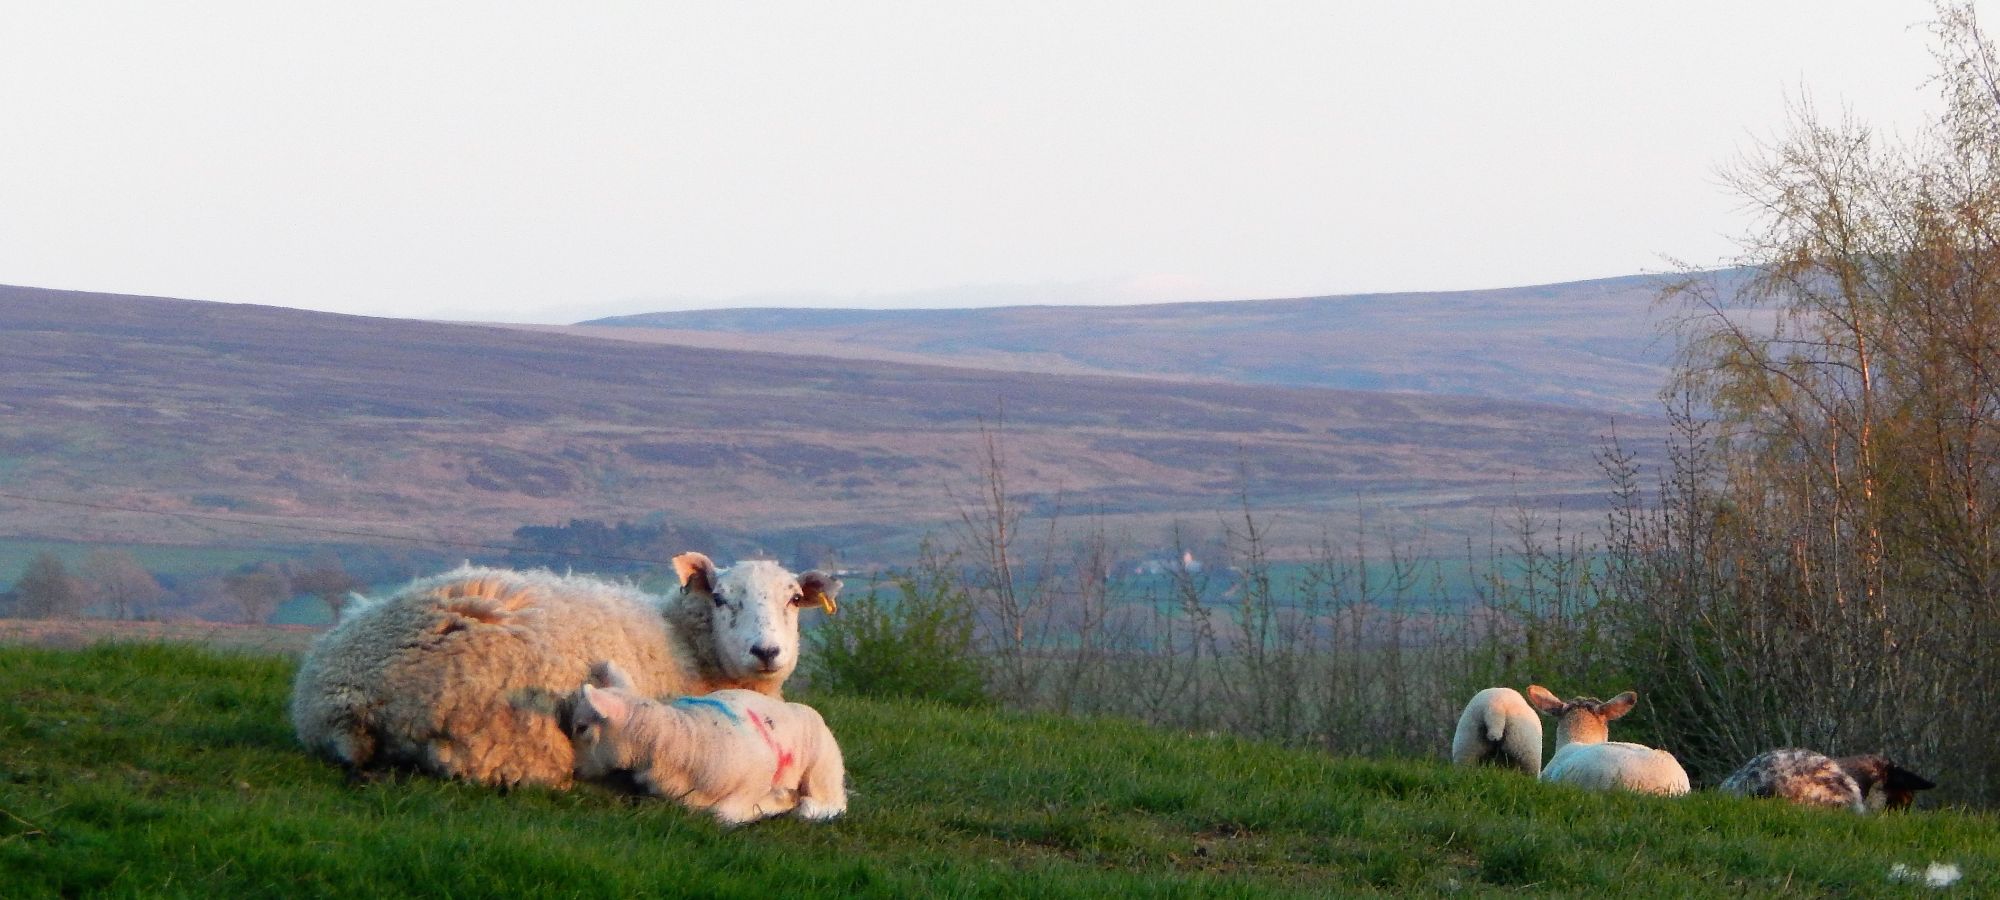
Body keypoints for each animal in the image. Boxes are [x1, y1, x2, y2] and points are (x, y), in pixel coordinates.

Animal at [290, 556, 836, 788]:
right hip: (514, 739)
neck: (685, 641)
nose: (766, 651)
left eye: (794, 600)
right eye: (721, 598)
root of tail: (349, 697)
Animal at [568, 656, 848, 828]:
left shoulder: (760, 773)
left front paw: (780, 800)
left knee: (832, 804)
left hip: (822, 767)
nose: (574, 770)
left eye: (581, 728)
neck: (680, 739)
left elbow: (722, 815)